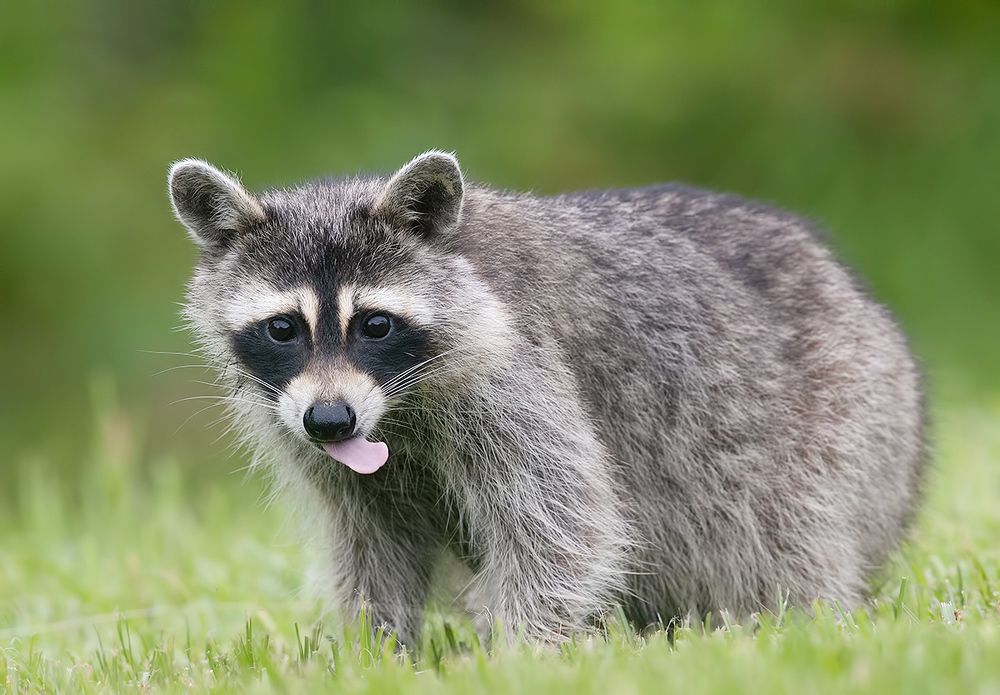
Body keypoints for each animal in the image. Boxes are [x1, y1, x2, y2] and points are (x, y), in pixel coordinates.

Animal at [168, 151, 925, 643]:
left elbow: (562, 524)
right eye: (283, 328)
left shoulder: (517, 378)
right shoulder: (307, 431)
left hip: (844, 430)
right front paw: (372, 652)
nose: (330, 419)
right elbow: (372, 545)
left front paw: (520, 654)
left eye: (375, 325)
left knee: (781, 542)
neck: (397, 411)